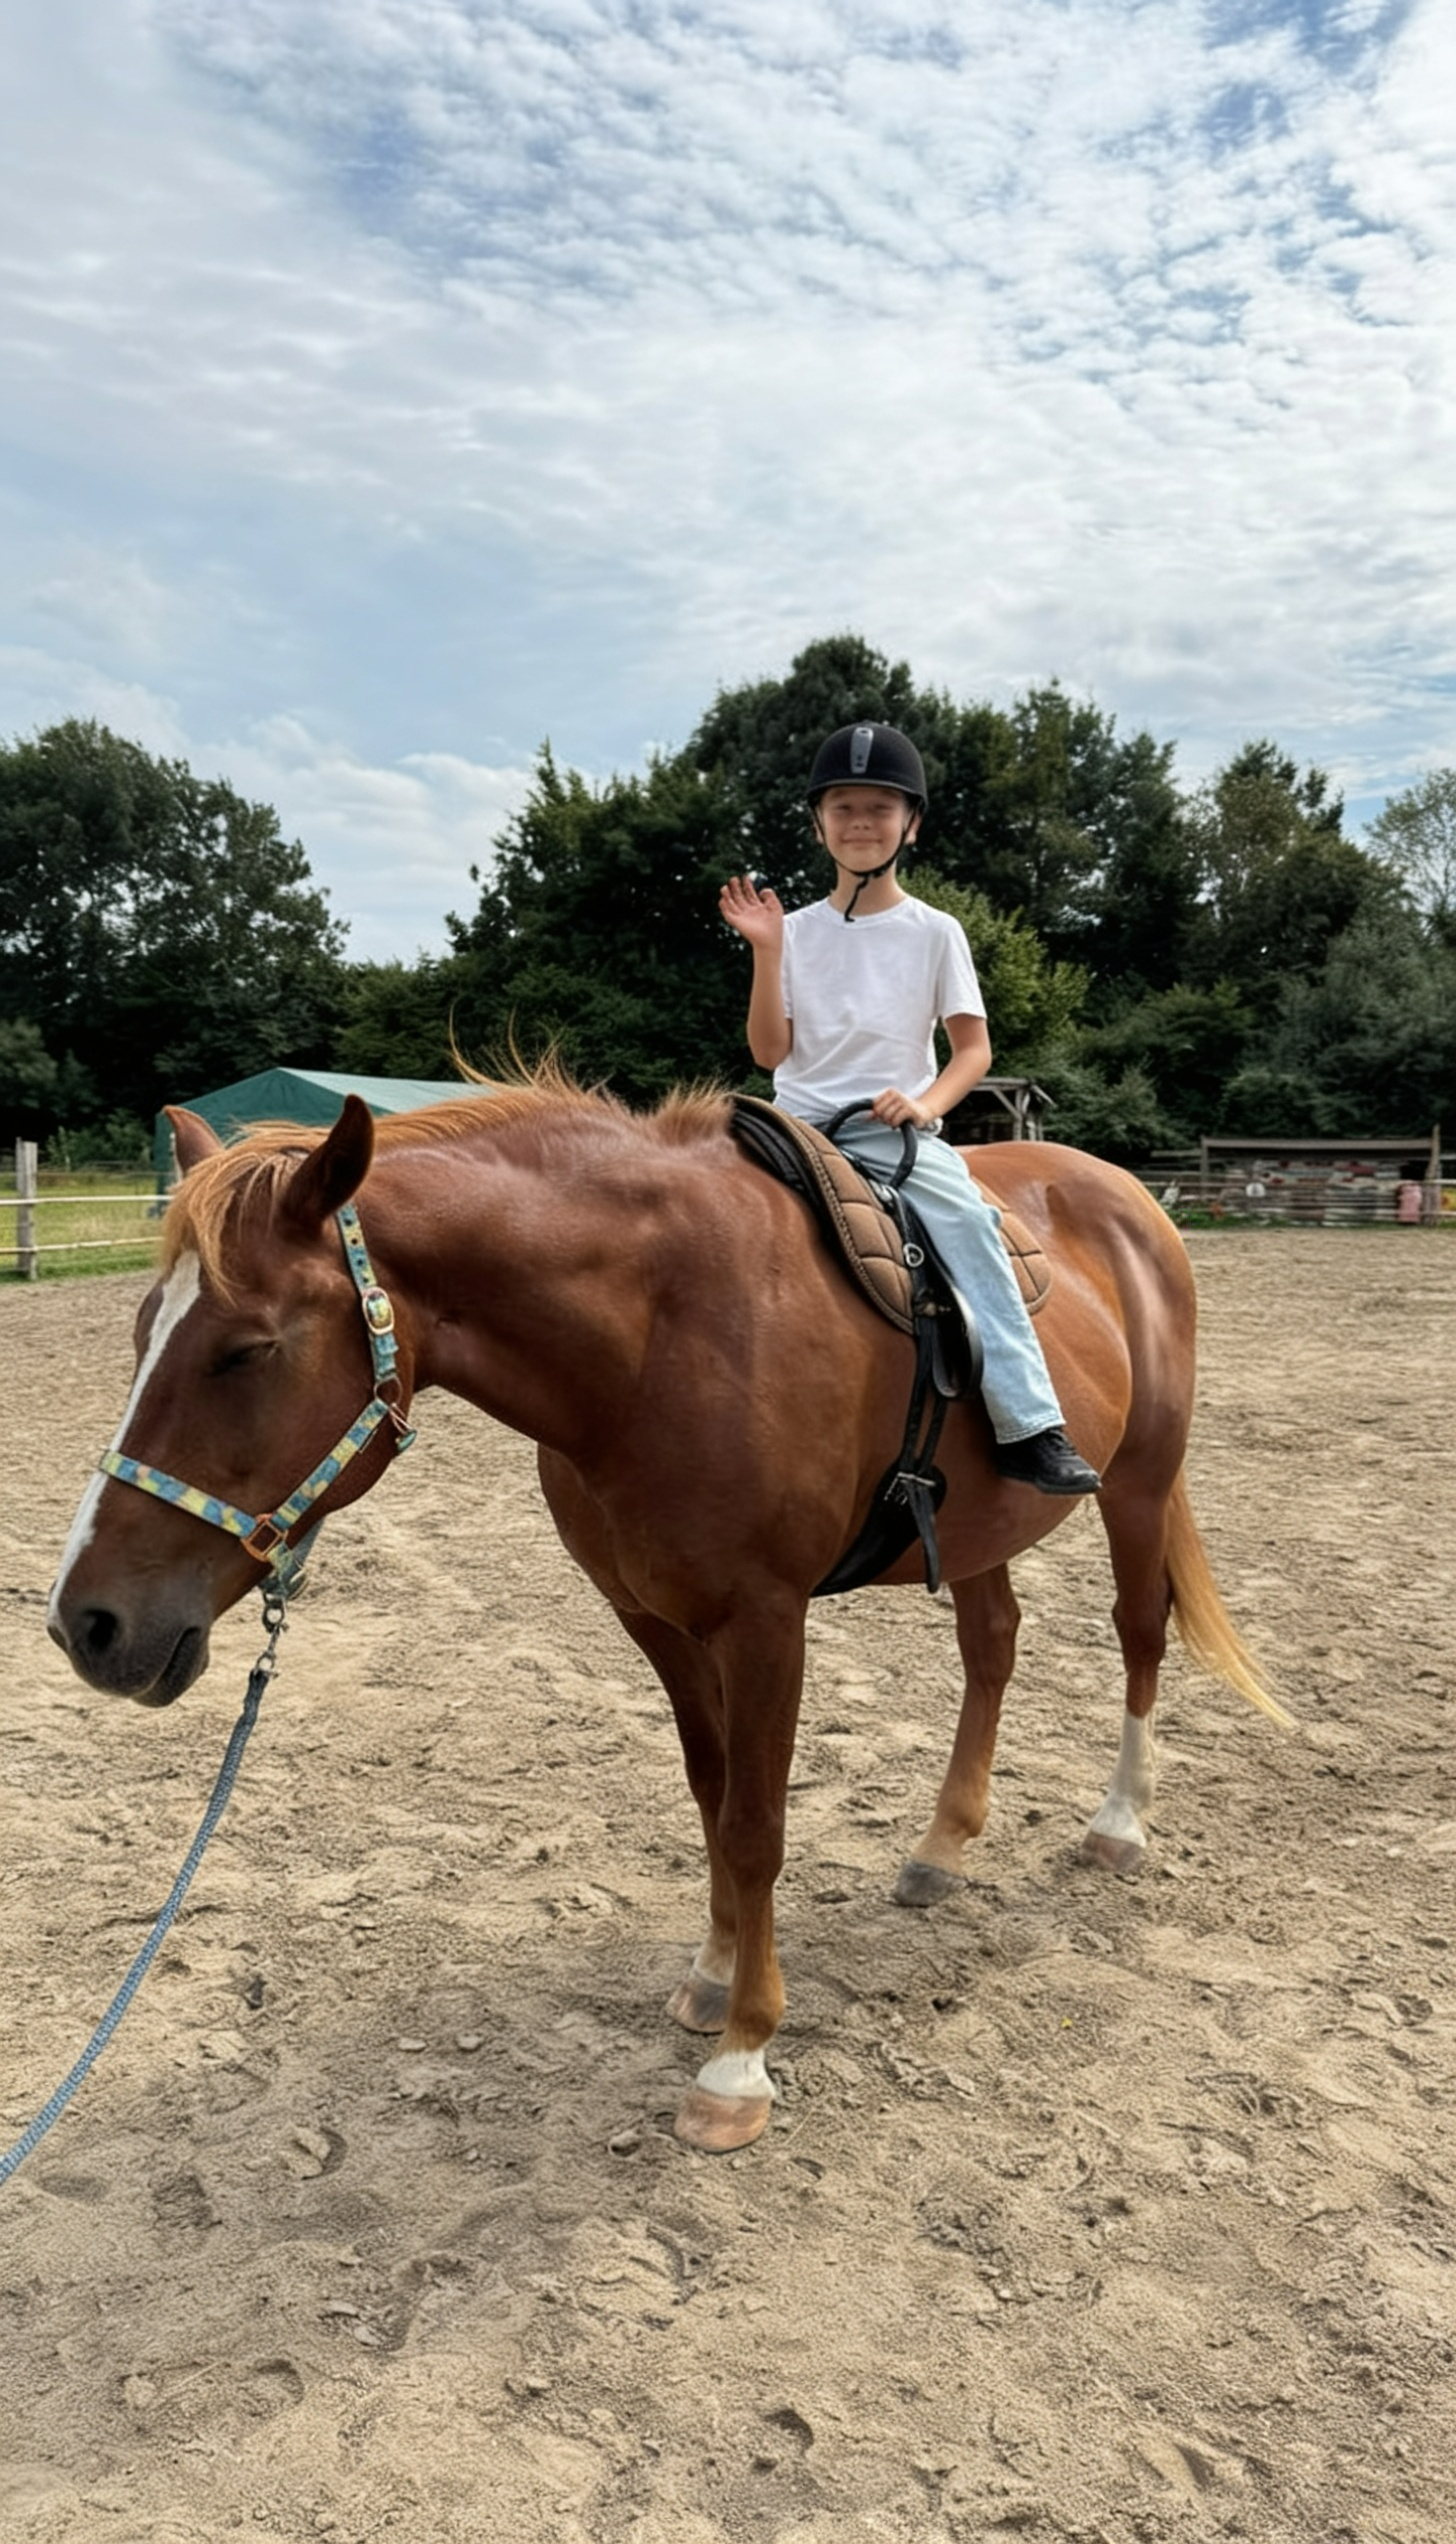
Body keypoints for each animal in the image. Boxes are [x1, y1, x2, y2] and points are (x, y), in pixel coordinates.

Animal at [46, 1073, 1285, 2153]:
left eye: (247, 1349)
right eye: (144, 1330)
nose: (87, 1624)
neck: (658, 1338)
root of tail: (1123, 1195)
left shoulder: (765, 1621)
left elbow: (757, 1823)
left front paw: (739, 2061)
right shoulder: (653, 1617)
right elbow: (709, 1796)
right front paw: (713, 1975)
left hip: (1137, 1484)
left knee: (1136, 1632)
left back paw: (1117, 1824)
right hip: (981, 1530)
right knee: (992, 1648)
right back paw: (941, 1847)